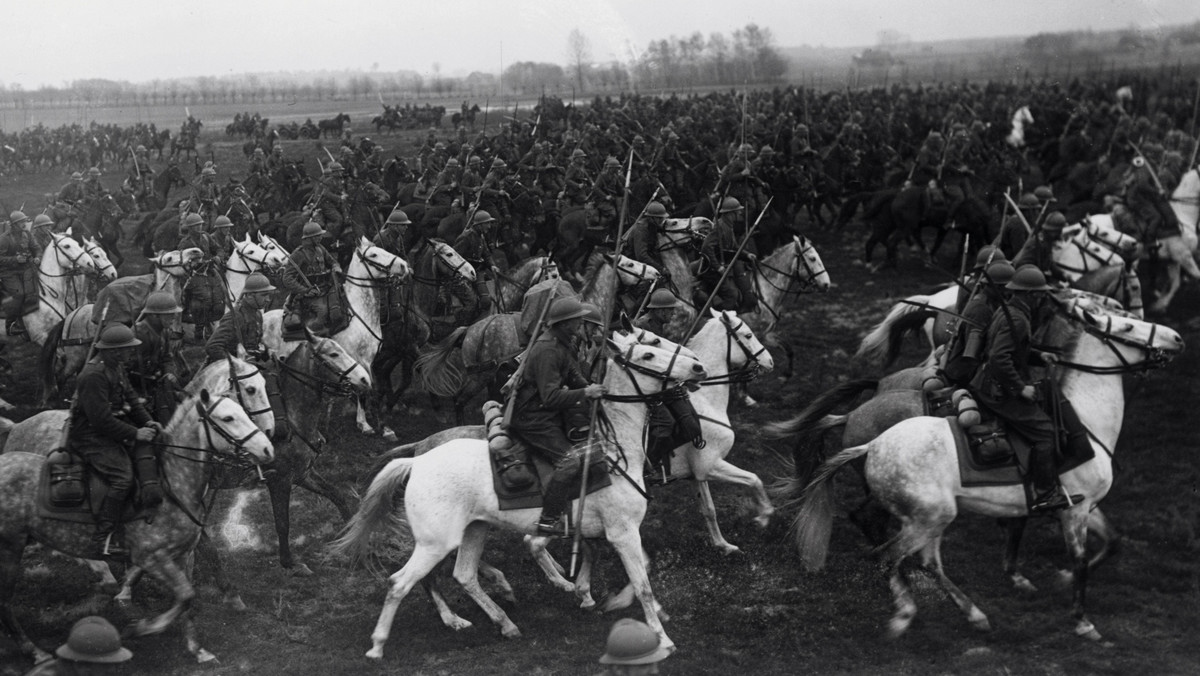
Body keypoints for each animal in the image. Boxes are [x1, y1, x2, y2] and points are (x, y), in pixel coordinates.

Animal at [262, 237, 408, 437]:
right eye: (373, 254)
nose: (404, 265)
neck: (358, 314)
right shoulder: (360, 360)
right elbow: (366, 391)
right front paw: (371, 425)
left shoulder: (368, 361)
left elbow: (367, 388)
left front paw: (371, 422)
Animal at [328, 333, 705, 662]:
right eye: (649, 353)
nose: (698, 366)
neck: (612, 452)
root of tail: (418, 459)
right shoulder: (622, 532)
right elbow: (642, 584)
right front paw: (662, 639)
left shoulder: (602, 531)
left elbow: (632, 567)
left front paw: (596, 596)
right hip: (435, 543)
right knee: (401, 583)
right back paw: (383, 644)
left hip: (474, 530)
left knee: (464, 575)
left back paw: (504, 622)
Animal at [787, 303, 1180, 643]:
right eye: (1127, 327)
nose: (1176, 337)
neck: (1085, 422)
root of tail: (871, 441)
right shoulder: (1074, 510)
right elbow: (1081, 560)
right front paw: (1082, 621)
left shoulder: (1082, 504)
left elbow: (1112, 541)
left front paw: (1058, 580)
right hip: (930, 518)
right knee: (888, 554)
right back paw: (904, 612)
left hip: (929, 518)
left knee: (922, 559)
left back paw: (973, 615)